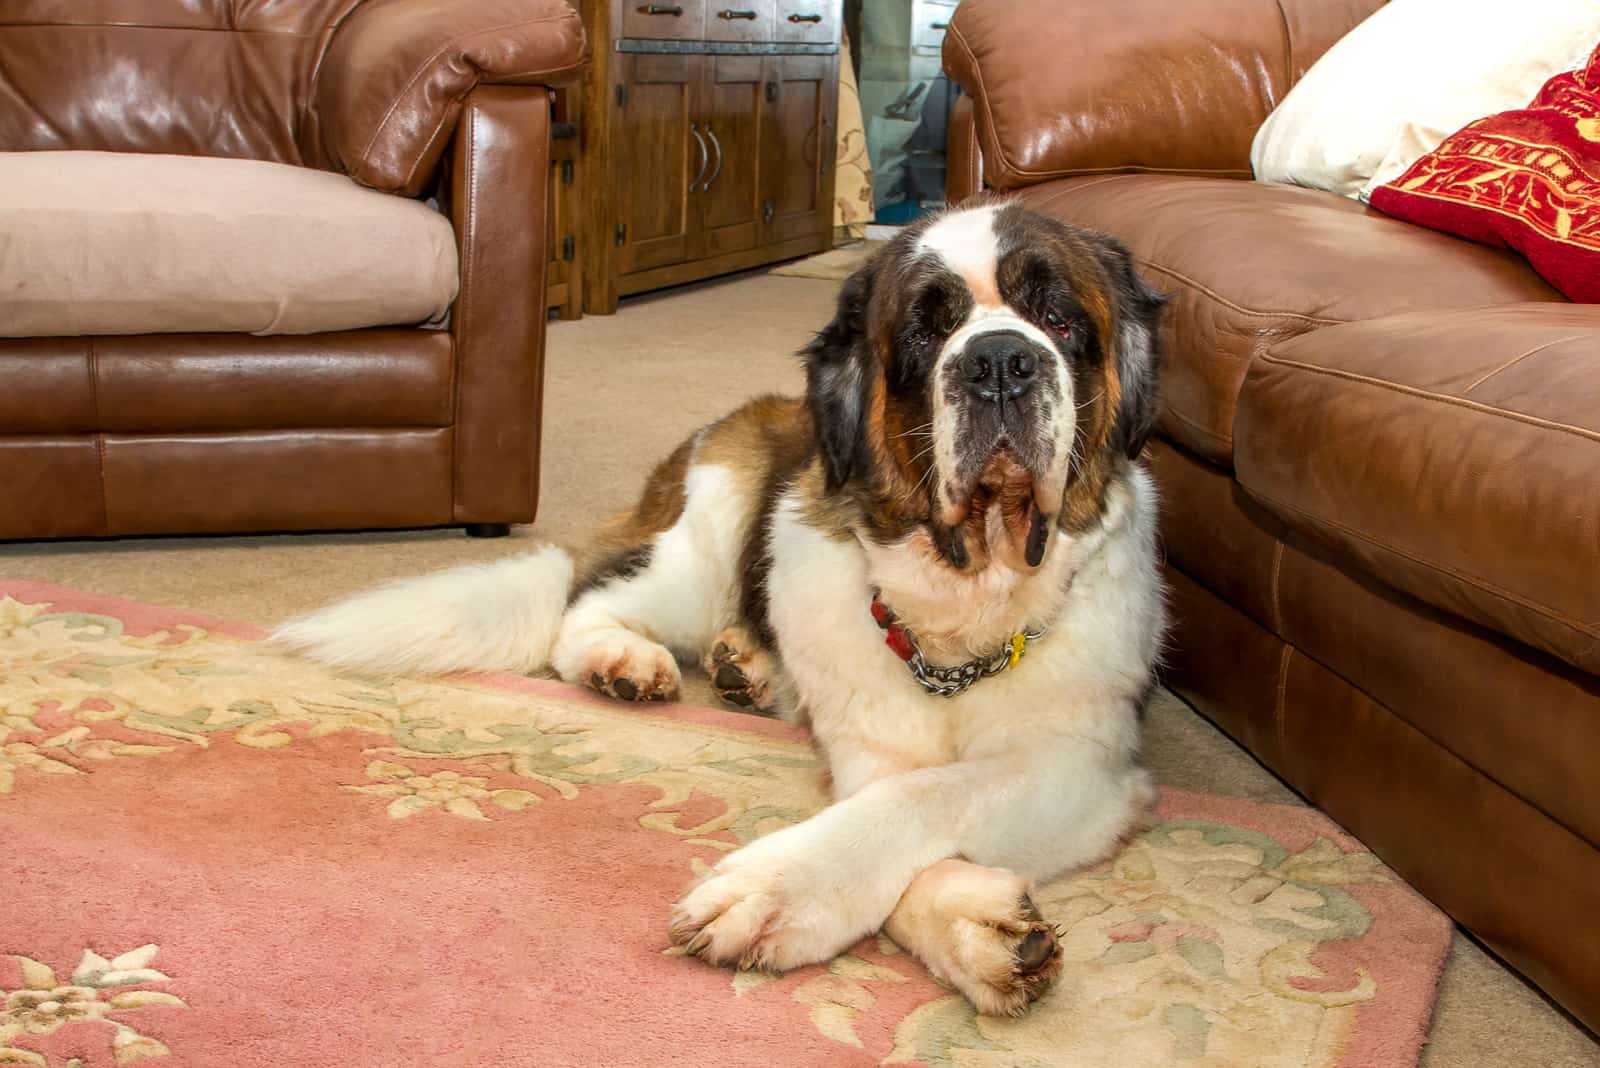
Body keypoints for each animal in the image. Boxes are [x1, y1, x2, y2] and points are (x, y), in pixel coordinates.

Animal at [278, 199, 1164, 1016]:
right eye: (925, 330)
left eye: (1059, 319)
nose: (1000, 362)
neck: (968, 613)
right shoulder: (869, 742)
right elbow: (892, 801)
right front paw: (820, 894)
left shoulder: (1087, 765)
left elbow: (937, 794)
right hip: (699, 549)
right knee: (583, 601)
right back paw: (625, 660)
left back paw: (746, 666)